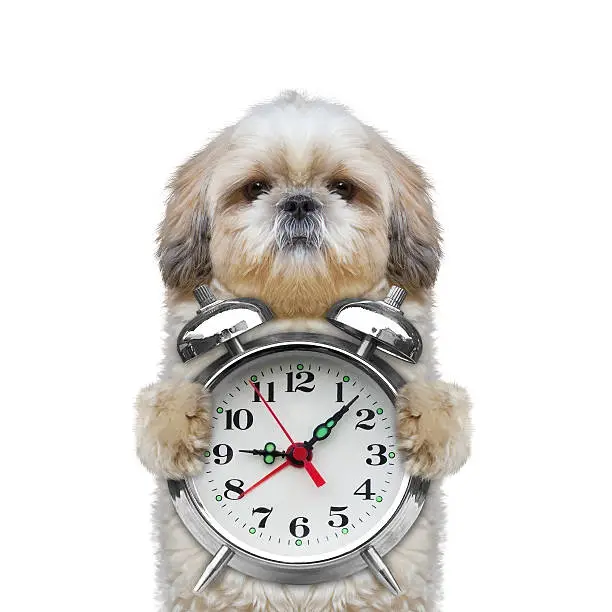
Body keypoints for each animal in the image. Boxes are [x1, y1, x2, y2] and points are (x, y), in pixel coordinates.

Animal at [137, 91, 474, 612]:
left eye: (343, 187)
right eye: (255, 188)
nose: (298, 201)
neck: (300, 311)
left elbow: (442, 411)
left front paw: (423, 426)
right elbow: (160, 411)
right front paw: (182, 428)